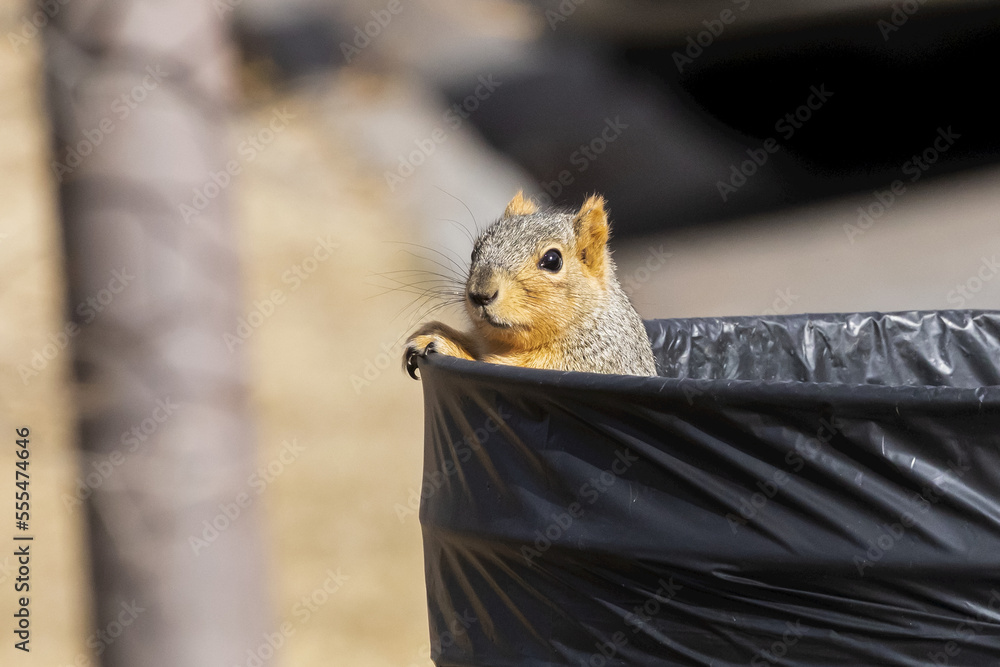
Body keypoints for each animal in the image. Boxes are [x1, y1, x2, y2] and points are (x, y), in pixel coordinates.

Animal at [403, 192, 657, 378]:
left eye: (553, 260)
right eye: (475, 250)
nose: (481, 294)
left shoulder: (582, 364)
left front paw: (445, 343)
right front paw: (432, 331)